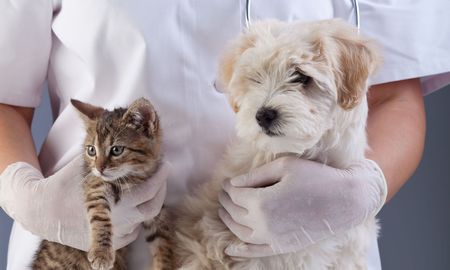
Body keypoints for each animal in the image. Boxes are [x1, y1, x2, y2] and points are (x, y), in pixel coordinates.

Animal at [32, 98, 171, 270]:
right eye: (91, 150)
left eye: (117, 150)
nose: (99, 168)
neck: (132, 178)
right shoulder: (95, 187)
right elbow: (100, 217)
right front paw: (101, 253)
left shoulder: (156, 209)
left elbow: (163, 241)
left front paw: (165, 264)